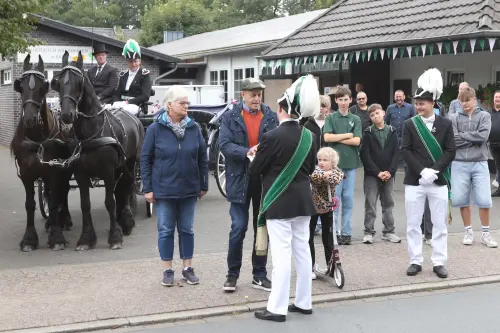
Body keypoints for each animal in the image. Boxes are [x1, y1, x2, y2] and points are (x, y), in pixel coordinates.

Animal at [10, 54, 73, 250]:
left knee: (63, 191)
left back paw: (64, 219)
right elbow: (30, 204)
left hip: (65, 170)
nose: (30, 119)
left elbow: (53, 203)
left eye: (41, 87)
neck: (36, 139)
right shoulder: (26, 173)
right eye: (21, 87)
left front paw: (57, 237)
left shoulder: (54, 171)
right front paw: (29, 239)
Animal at [51, 51, 145, 249]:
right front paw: (86, 238)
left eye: (79, 82)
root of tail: (133, 117)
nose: (67, 115)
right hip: (120, 166)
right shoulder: (81, 173)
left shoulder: (107, 171)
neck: (91, 132)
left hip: (131, 162)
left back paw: (126, 221)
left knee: (127, 186)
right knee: (122, 188)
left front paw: (115, 237)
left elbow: (109, 202)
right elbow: (85, 204)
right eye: (58, 82)